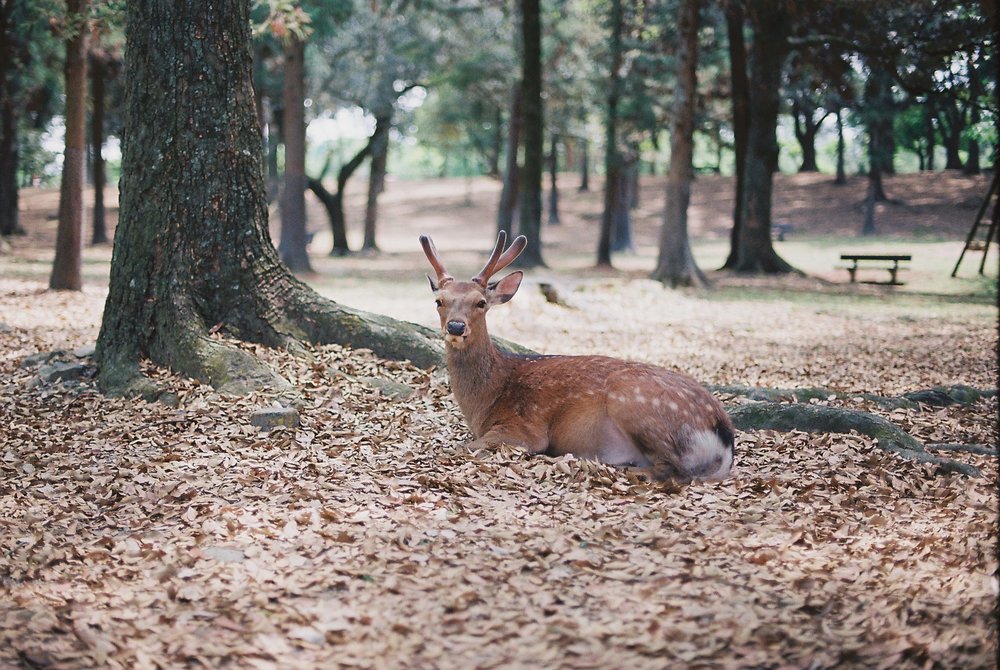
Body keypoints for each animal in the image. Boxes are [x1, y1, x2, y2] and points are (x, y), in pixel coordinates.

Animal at [419, 231, 735, 482]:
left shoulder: (525, 429)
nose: (456, 326)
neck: (487, 400)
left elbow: (464, 446)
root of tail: (724, 433)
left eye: (481, 302)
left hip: (634, 403)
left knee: (672, 469)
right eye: (439, 301)